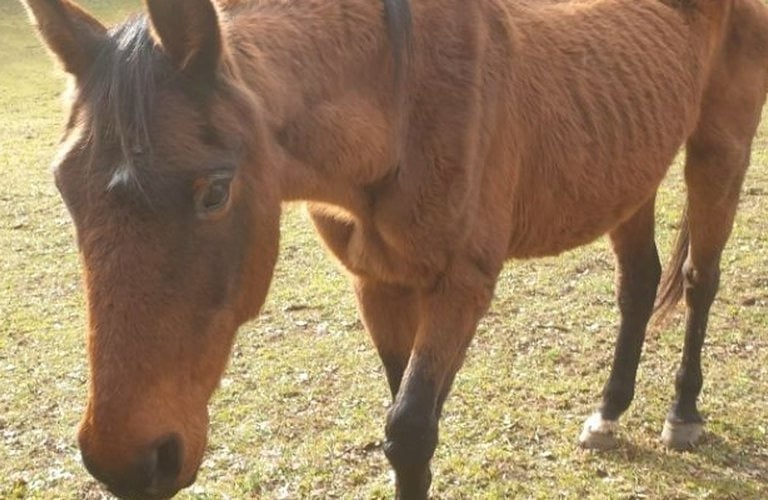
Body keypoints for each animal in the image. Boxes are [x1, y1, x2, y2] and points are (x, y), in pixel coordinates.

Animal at [23, 0, 768, 497]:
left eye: (215, 191)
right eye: (63, 186)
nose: (126, 459)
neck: (402, 103)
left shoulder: (462, 285)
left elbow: (410, 431)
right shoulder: (378, 283)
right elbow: (402, 413)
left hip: (719, 149)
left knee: (699, 281)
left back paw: (683, 414)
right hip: (627, 168)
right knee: (639, 284)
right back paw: (610, 413)